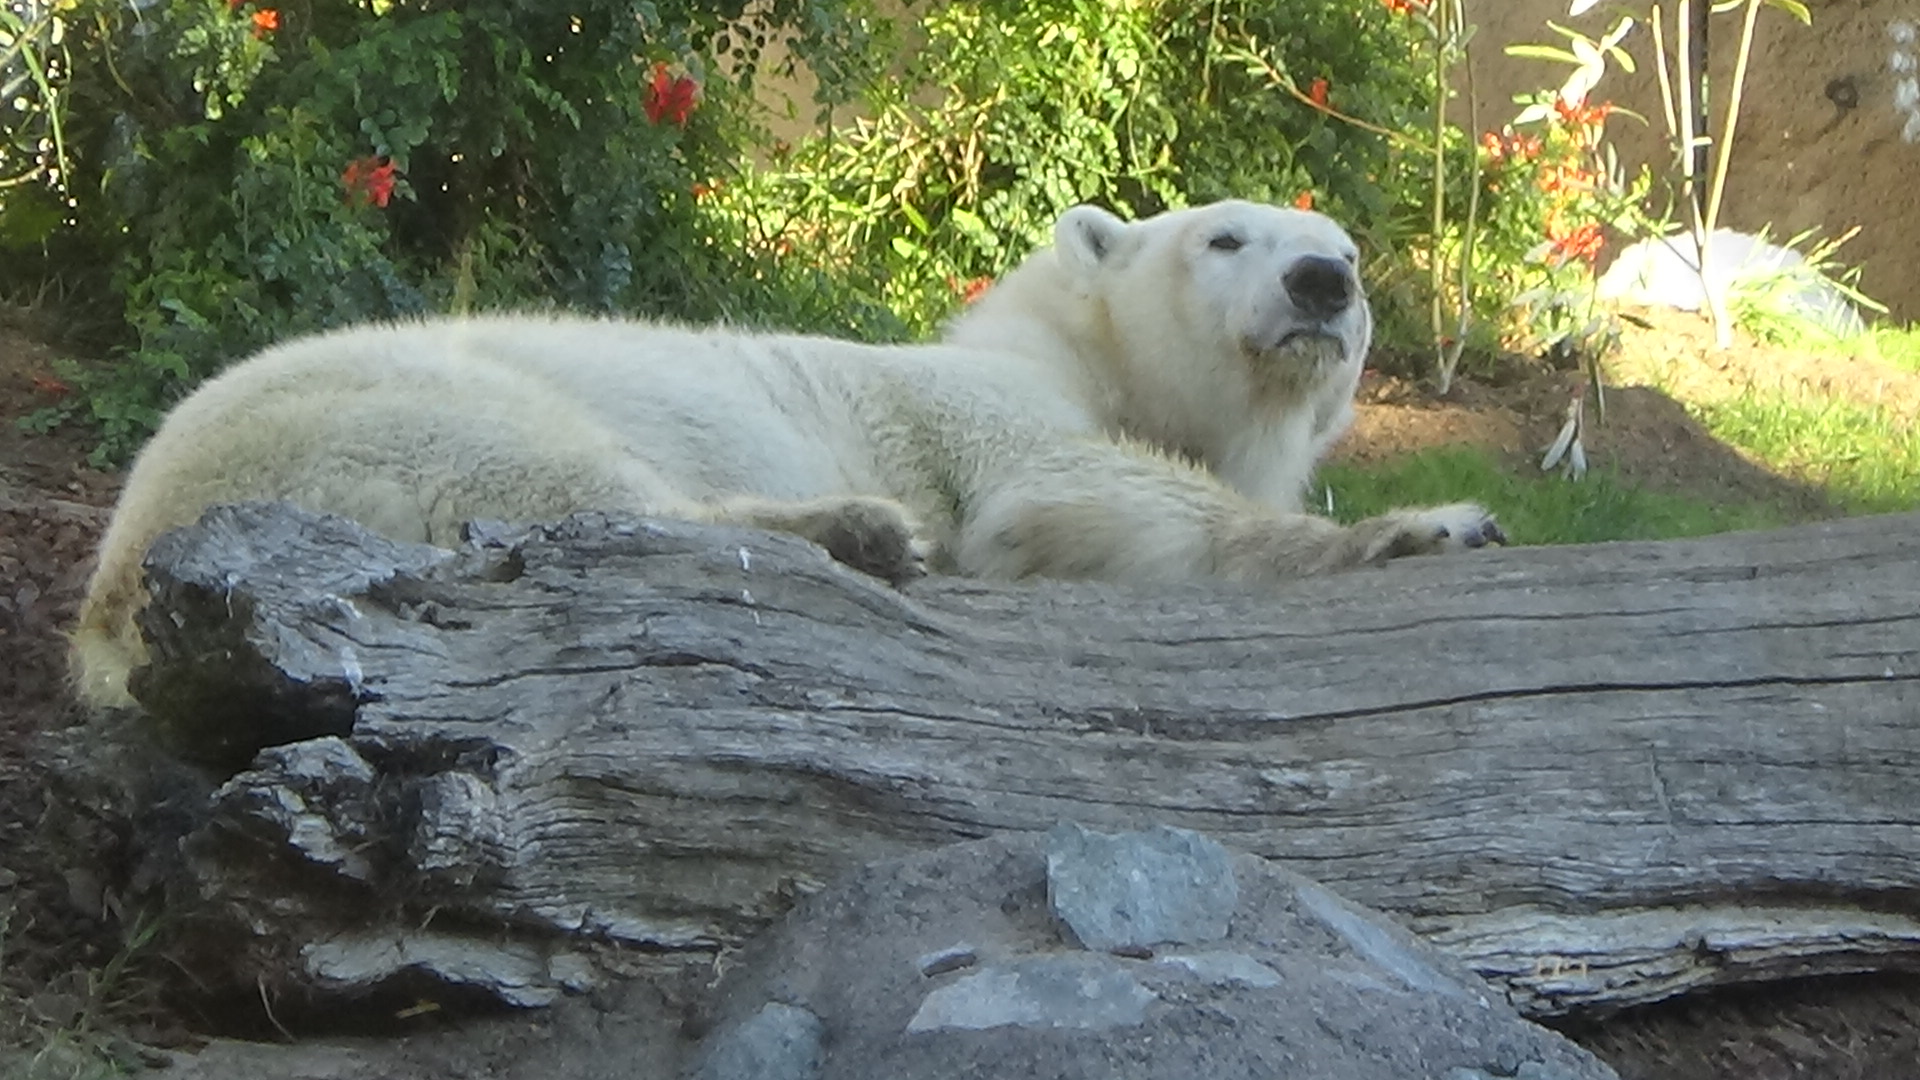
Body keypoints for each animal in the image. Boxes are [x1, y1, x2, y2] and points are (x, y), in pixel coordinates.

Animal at [70, 197, 1503, 709]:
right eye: (1225, 237)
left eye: (1348, 250)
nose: (1324, 282)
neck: (1080, 347)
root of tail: (116, 571)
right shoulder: (993, 410)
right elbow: (1065, 493)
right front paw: (1431, 527)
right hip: (375, 407)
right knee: (564, 481)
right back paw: (855, 530)